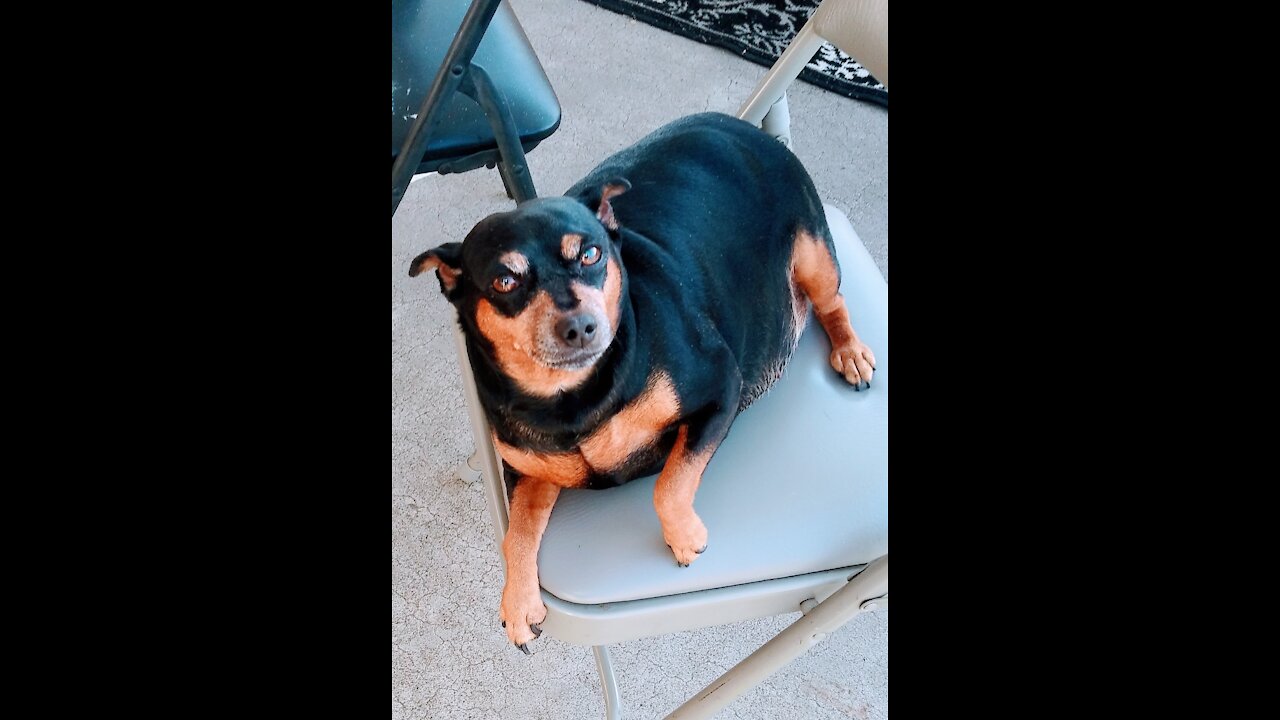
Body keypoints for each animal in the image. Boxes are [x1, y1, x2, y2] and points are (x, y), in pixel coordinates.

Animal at [414, 110, 875, 650]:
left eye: (590, 255)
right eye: (505, 281)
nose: (580, 327)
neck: (572, 399)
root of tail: (743, 125)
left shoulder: (720, 388)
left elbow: (669, 483)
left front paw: (684, 536)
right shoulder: (528, 471)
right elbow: (517, 534)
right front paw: (518, 601)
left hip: (813, 252)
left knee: (832, 302)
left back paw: (850, 353)